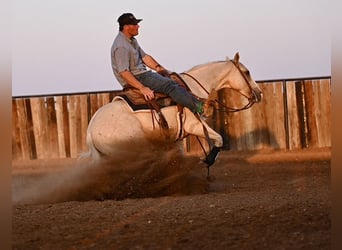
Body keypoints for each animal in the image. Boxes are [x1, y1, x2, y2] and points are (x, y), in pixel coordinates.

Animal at [85, 52, 262, 167]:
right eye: (247, 72)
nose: (259, 93)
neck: (192, 89)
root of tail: (91, 128)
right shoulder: (195, 126)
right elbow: (219, 139)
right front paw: (207, 160)